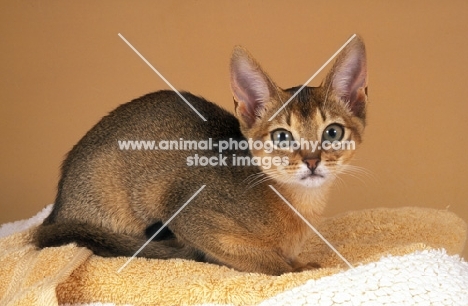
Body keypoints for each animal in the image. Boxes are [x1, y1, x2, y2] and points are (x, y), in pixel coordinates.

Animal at [34, 35, 368, 274]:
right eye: (282, 136)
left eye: (332, 133)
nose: (312, 161)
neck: (299, 206)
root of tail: (56, 211)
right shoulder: (186, 208)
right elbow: (261, 260)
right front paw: (295, 269)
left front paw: (298, 261)